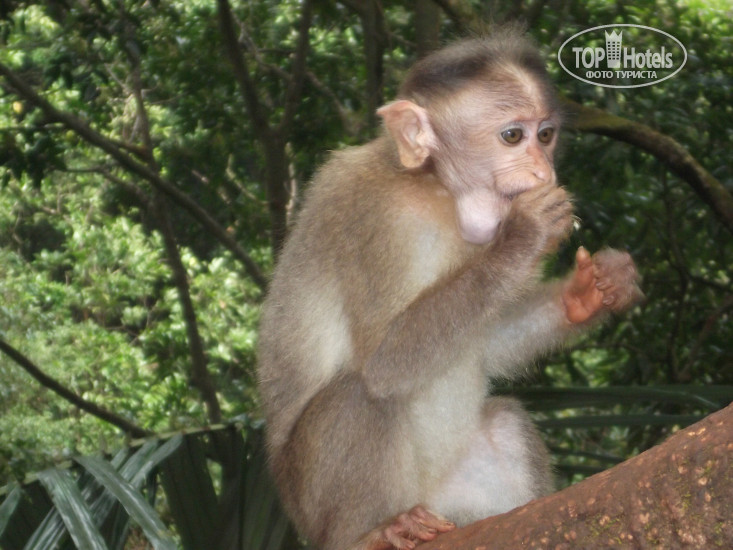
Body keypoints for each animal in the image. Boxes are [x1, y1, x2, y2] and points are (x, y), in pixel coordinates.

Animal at [258, 30, 643, 550]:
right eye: (512, 136)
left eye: (546, 135)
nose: (544, 173)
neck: (435, 190)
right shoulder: (377, 219)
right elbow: (384, 361)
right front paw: (525, 236)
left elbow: (486, 344)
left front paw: (589, 292)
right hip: (315, 502)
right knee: (360, 393)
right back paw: (371, 534)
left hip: (453, 497)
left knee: (503, 422)